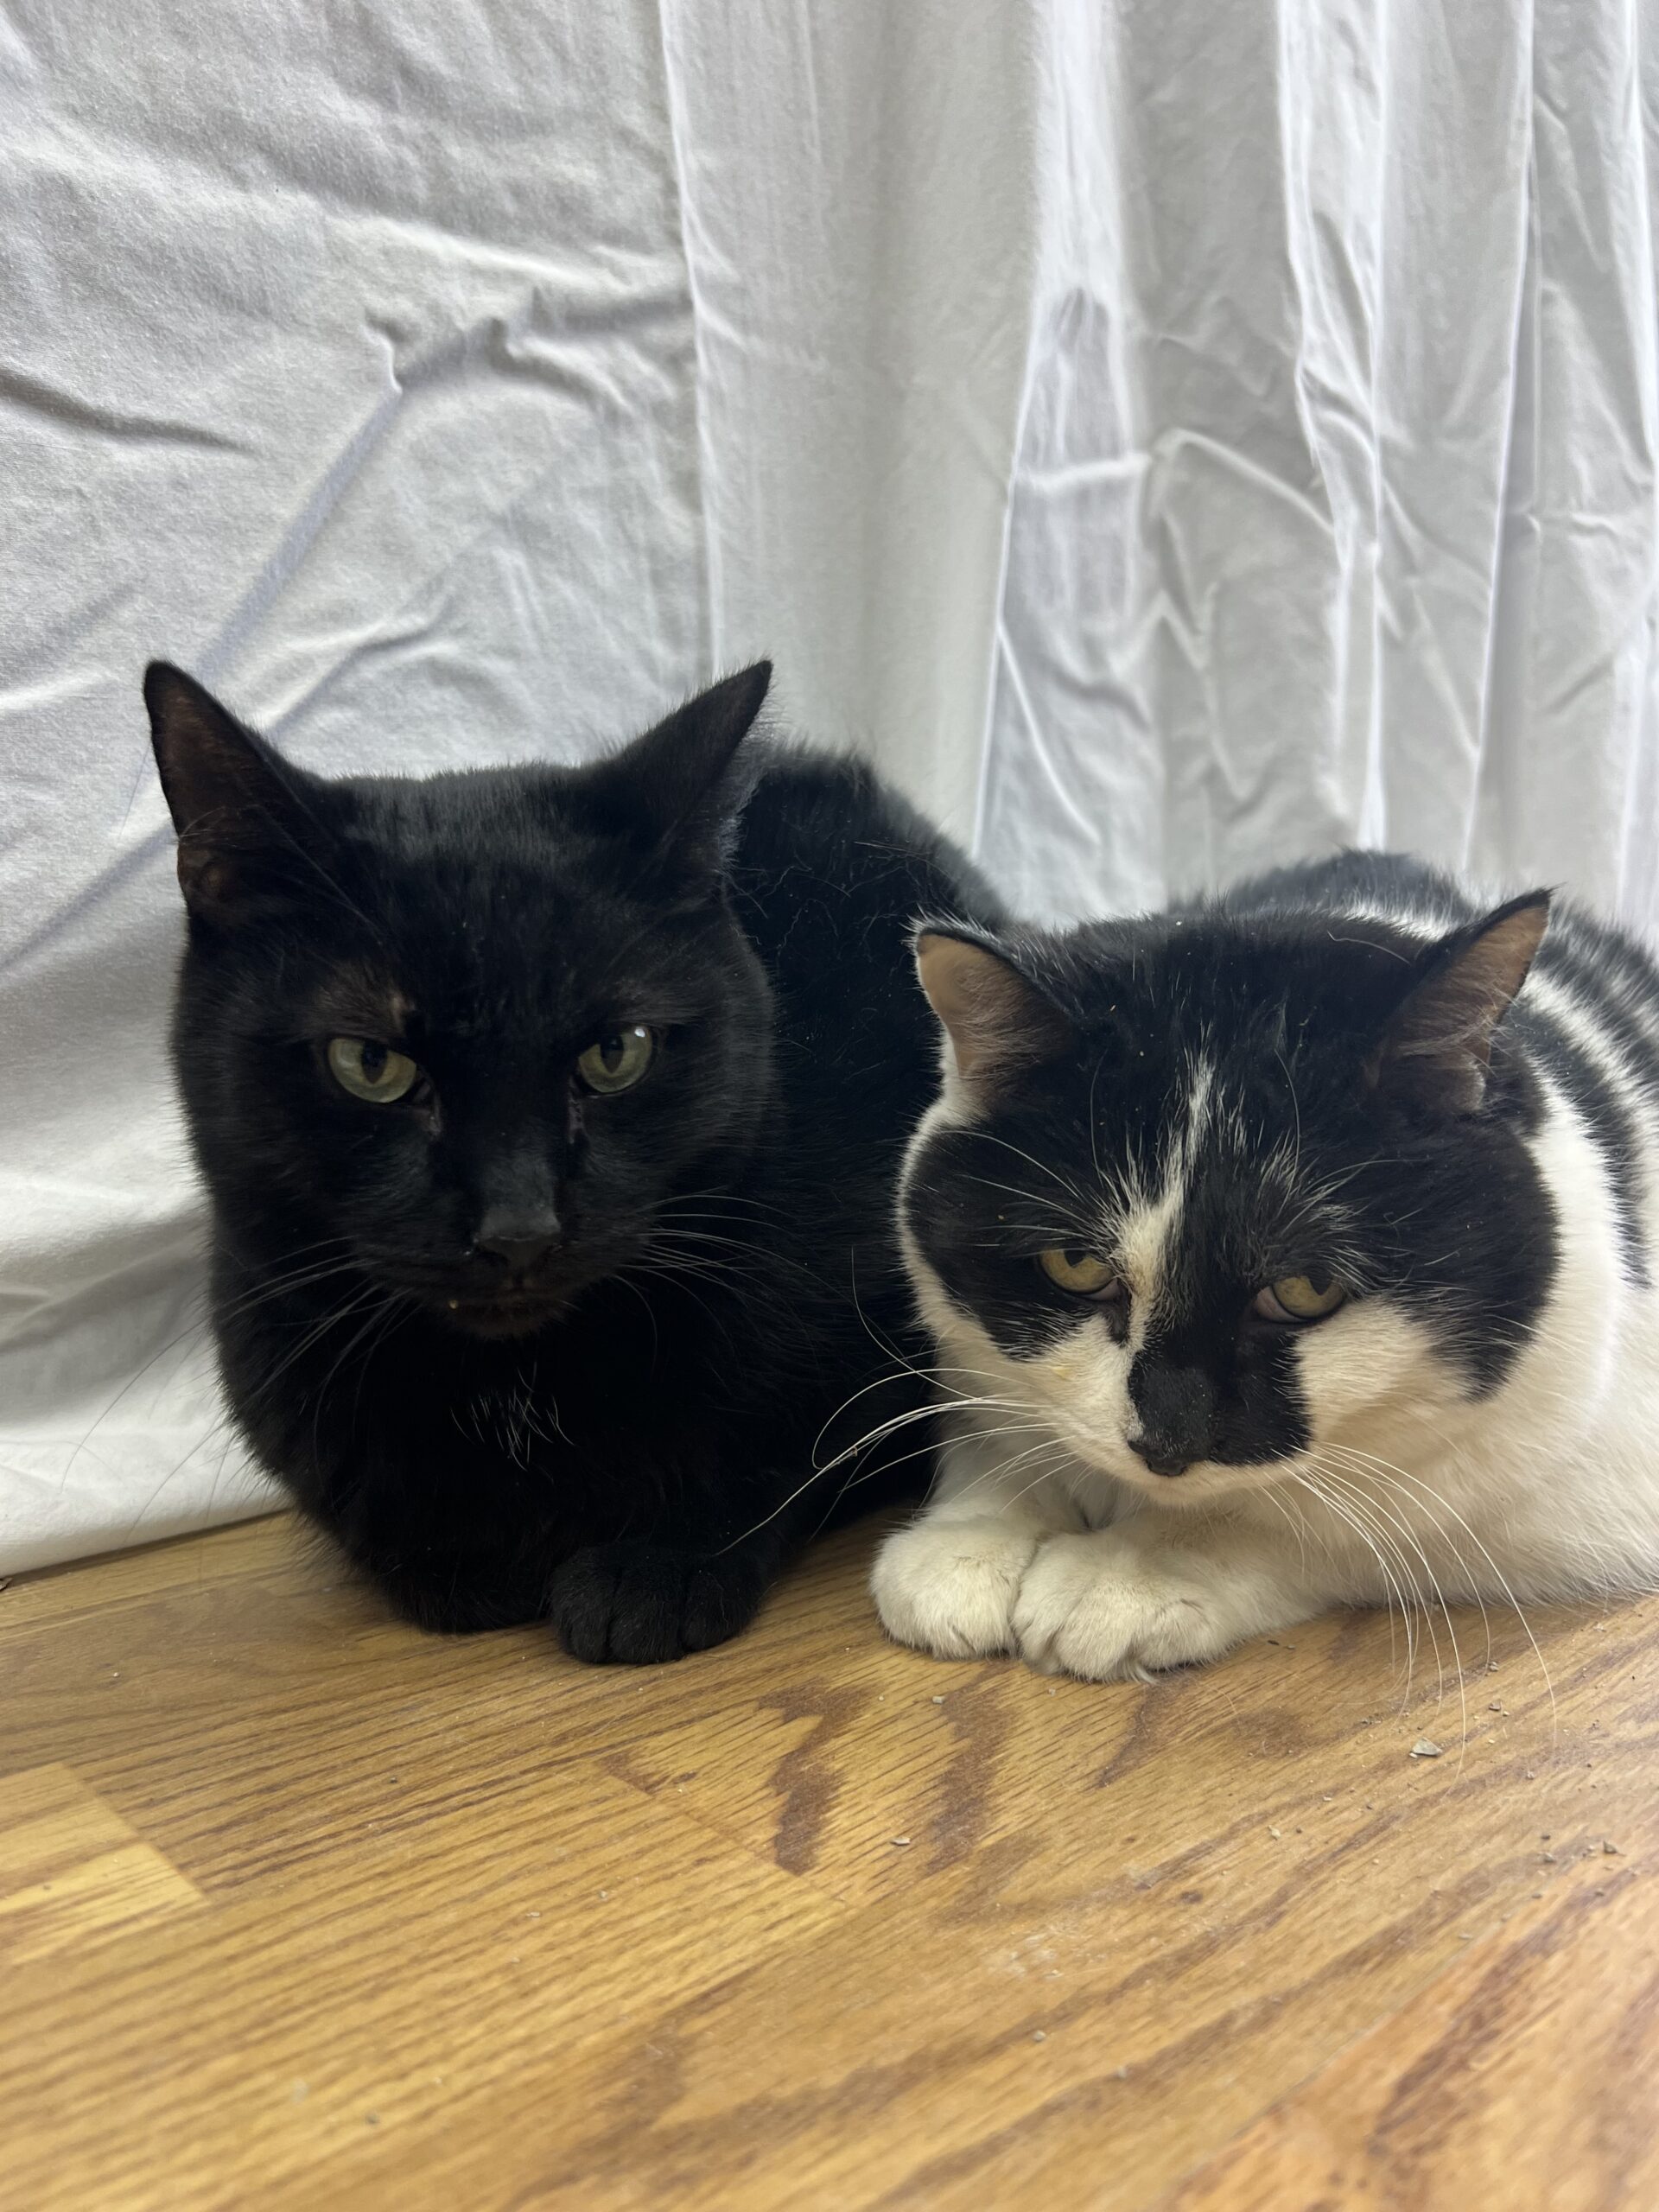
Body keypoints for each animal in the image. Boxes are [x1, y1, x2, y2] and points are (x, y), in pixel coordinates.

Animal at [145, 658, 999, 1662]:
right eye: (369, 1063)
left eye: (617, 1052)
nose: (519, 1227)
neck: (515, 1390)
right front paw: (469, 1564)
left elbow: (784, 1456)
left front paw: (654, 1567)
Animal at [871, 850, 1659, 1681]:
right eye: (1076, 1264)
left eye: (1306, 1288)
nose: (1167, 1442)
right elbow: (996, 1425)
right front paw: (972, 1537)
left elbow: (1349, 1521)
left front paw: (1130, 1572)